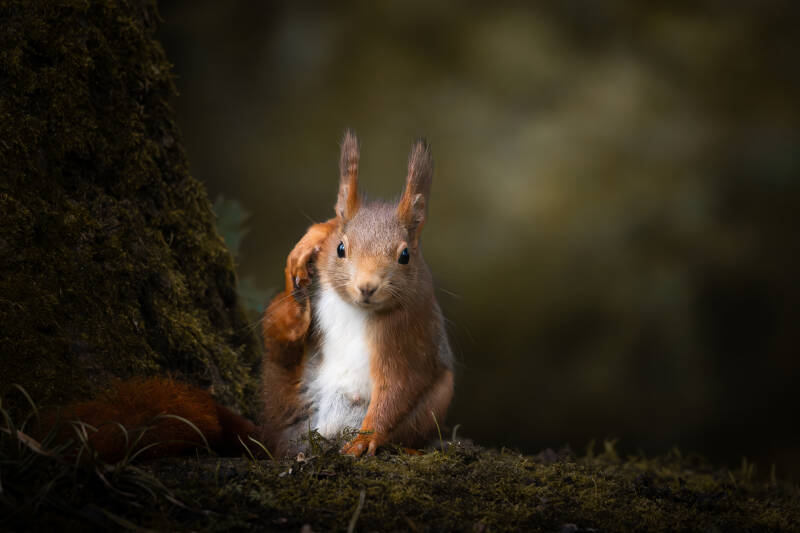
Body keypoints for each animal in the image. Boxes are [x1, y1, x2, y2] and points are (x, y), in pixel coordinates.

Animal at [39, 131, 453, 461]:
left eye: (405, 256)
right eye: (340, 249)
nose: (367, 287)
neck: (357, 308)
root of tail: (276, 441)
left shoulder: (409, 334)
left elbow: (398, 386)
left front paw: (369, 438)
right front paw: (306, 251)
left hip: (437, 397)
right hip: (283, 390)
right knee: (281, 351)